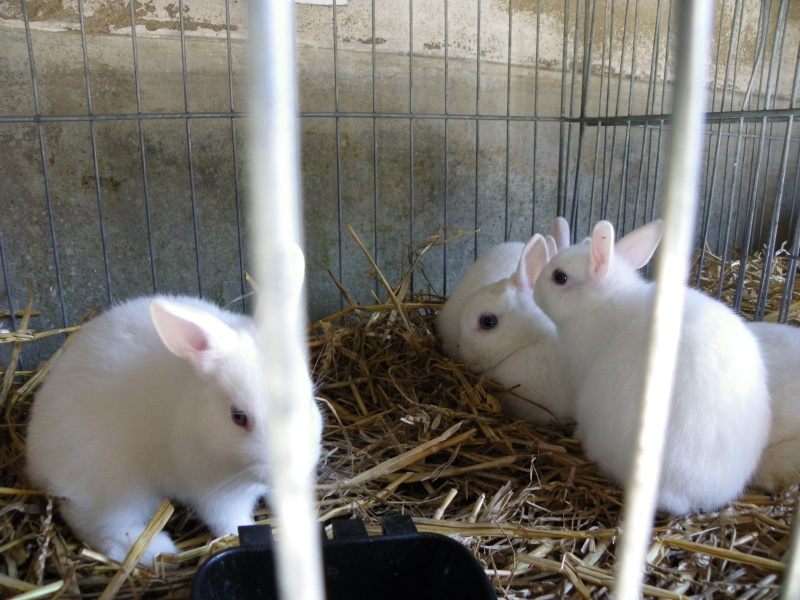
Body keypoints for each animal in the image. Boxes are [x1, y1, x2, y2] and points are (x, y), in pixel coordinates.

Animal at [25, 292, 324, 564]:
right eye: (238, 416)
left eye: (307, 396)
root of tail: (35, 458)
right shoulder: (215, 494)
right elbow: (231, 522)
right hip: (116, 488)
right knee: (100, 528)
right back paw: (159, 551)